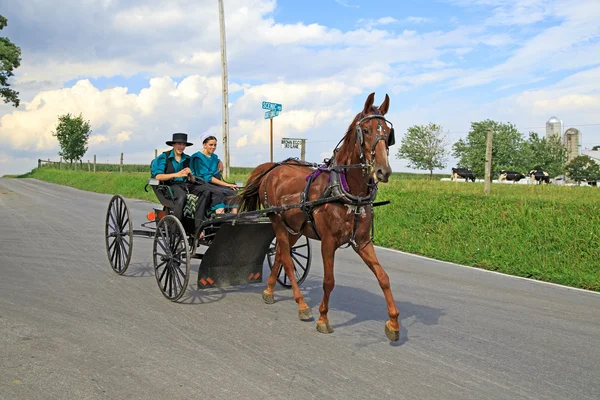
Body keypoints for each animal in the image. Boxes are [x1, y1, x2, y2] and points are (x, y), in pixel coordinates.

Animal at [237, 91, 400, 340]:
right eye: (367, 130)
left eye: (388, 133)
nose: (383, 170)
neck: (347, 191)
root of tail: (273, 168)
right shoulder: (328, 242)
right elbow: (329, 281)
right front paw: (323, 318)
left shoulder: (362, 242)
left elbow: (384, 278)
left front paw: (393, 323)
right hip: (277, 221)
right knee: (285, 258)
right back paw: (302, 304)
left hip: (294, 228)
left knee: (282, 255)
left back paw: (269, 290)